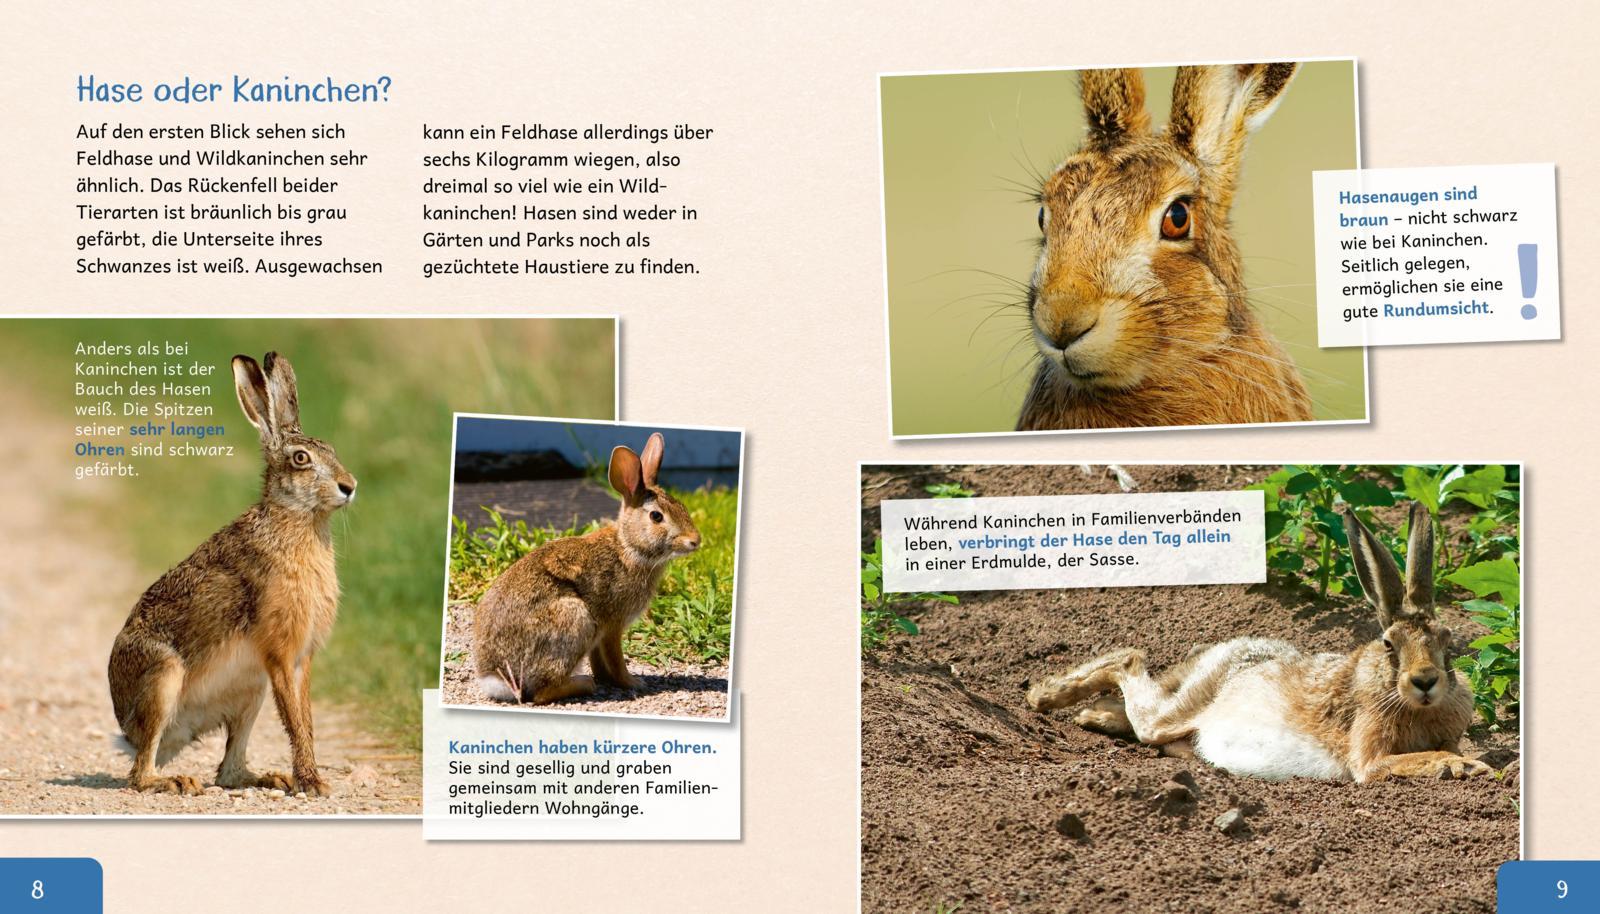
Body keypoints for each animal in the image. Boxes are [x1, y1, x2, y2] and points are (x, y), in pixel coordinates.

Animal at [107, 352, 356, 796]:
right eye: (301, 459)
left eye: (330, 449)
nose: (350, 486)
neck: (296, 519)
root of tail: (127, 731)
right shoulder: (279, 651)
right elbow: (295, 720)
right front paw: (312, 783)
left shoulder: (300, 659)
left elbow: (306, 719)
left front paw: (307, 779)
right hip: (162, 678)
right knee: (138, 775)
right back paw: (175, 780)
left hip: (251, 690)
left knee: (229, 771)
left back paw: (269, 778)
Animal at [471, 432, 701, 704]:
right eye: (656, 517)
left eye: (682, 506)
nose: (695, 540)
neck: (628, 546)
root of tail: (494, 678)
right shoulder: (612, 624)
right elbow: (616, 658)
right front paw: (633, 682)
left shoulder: (600, 634)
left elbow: (600, 661)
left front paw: (609, 679)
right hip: (574, 619)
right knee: (542, 692)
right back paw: (584, 684)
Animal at [1024, 502, 1492, 782]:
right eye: (1389, 643)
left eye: (1447, 640)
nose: (1426, 681)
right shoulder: (1368, 757)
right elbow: (1402, 762)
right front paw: (1468, 766)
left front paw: (1467, 762)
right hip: (1179, 708)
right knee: (1130, 664)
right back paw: (1044, 696)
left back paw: (1093, 715)